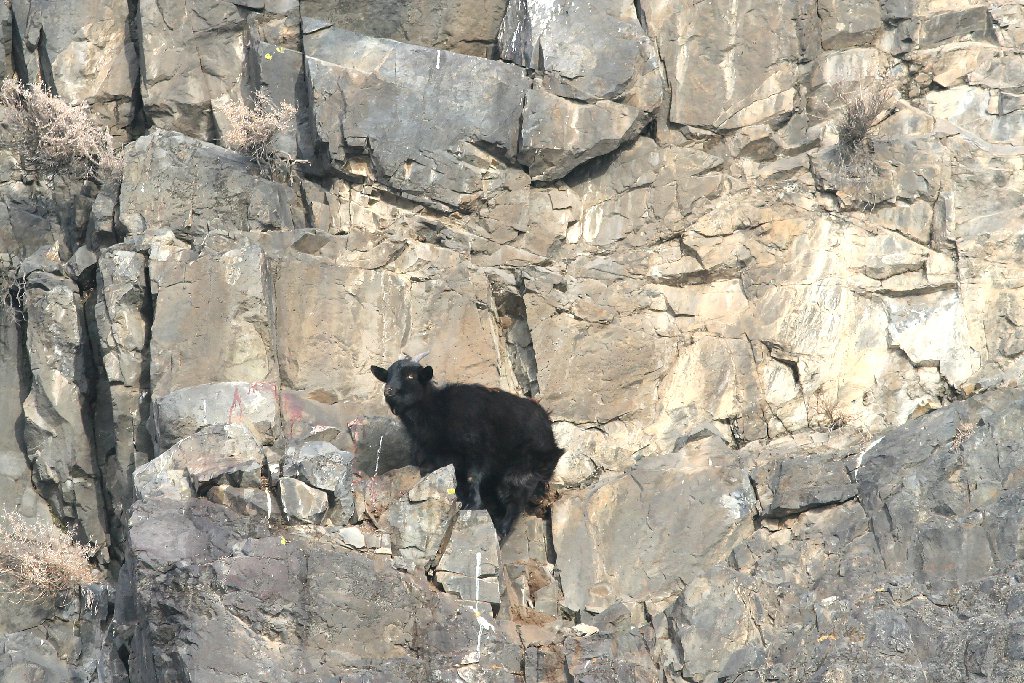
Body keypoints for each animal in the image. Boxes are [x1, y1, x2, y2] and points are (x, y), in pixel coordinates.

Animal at [370, 353, 563, 538]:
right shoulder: (439, 459)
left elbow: (474, 477)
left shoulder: (478, 450)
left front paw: (472, 505)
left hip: (523, 468)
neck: (439, 410)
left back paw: (502, 530)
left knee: (515, 499)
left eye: (410, 376)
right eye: (388, 376)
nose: (388, 391)